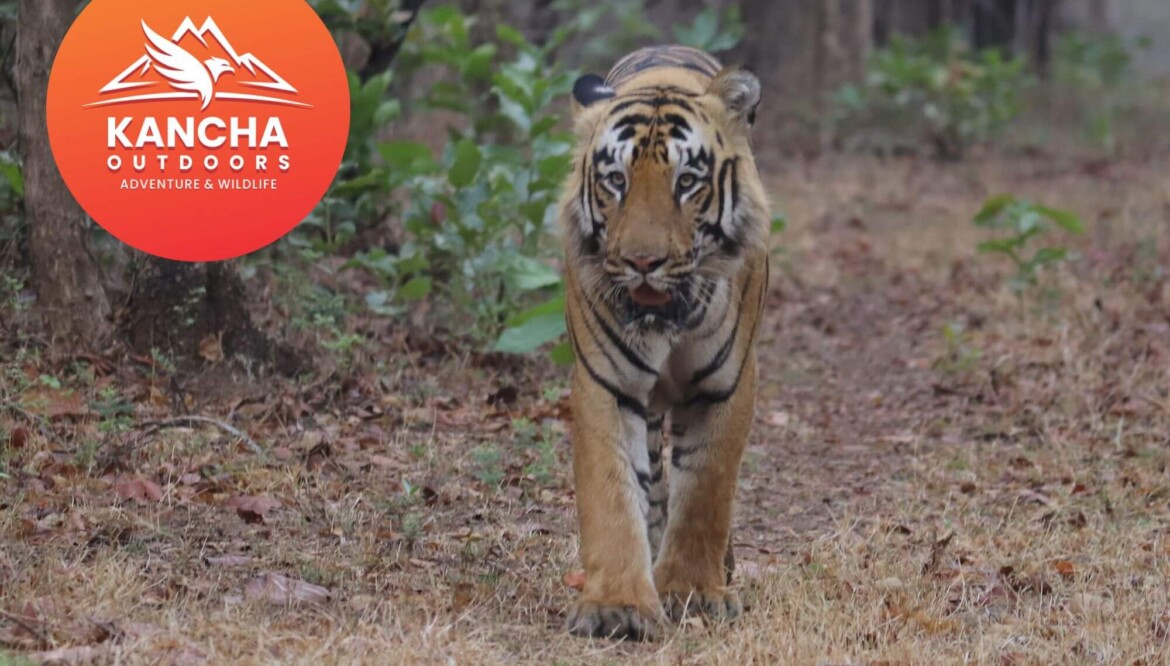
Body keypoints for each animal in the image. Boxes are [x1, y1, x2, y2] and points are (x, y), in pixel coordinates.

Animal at [559, 45, 770, 640]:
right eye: (615, 180)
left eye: (687, 181)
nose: (642, 262)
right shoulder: (606, 384)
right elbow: (612, 493)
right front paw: (618, 605)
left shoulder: (727, 386)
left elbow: (705, 494)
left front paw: (695, 593)